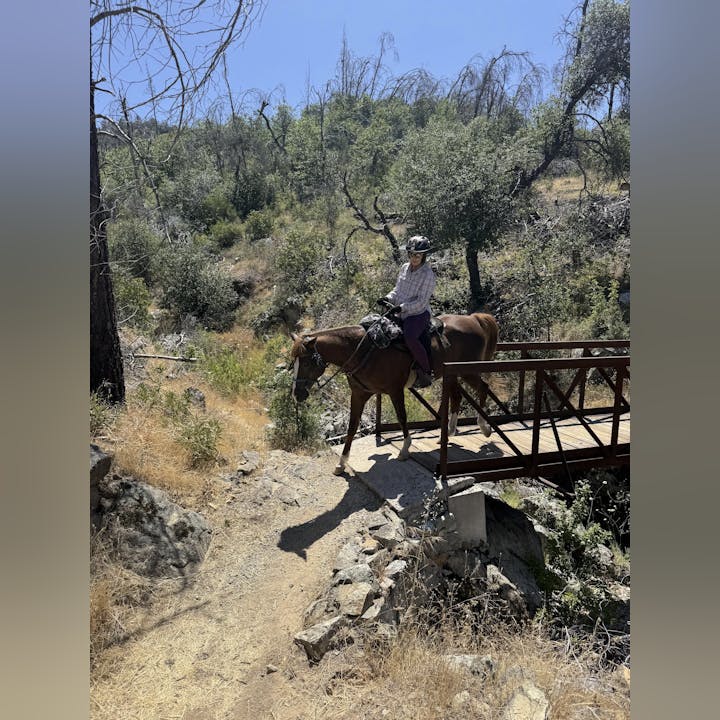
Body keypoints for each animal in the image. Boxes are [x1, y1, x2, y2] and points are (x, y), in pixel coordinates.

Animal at [290, 312, 499, 475]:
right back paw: (447, 433)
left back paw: (484, 427)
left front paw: (405, 450)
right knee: (457, 396)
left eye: (307, 362)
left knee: (483, 388)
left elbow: (402, 417)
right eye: (294, 363)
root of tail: (473, 318)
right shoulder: (359, 394)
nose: (297, 394)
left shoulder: (394, 390)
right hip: (452, 373)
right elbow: (352, 427)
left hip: (467, 371)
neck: (362, 350)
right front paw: (341, 463)